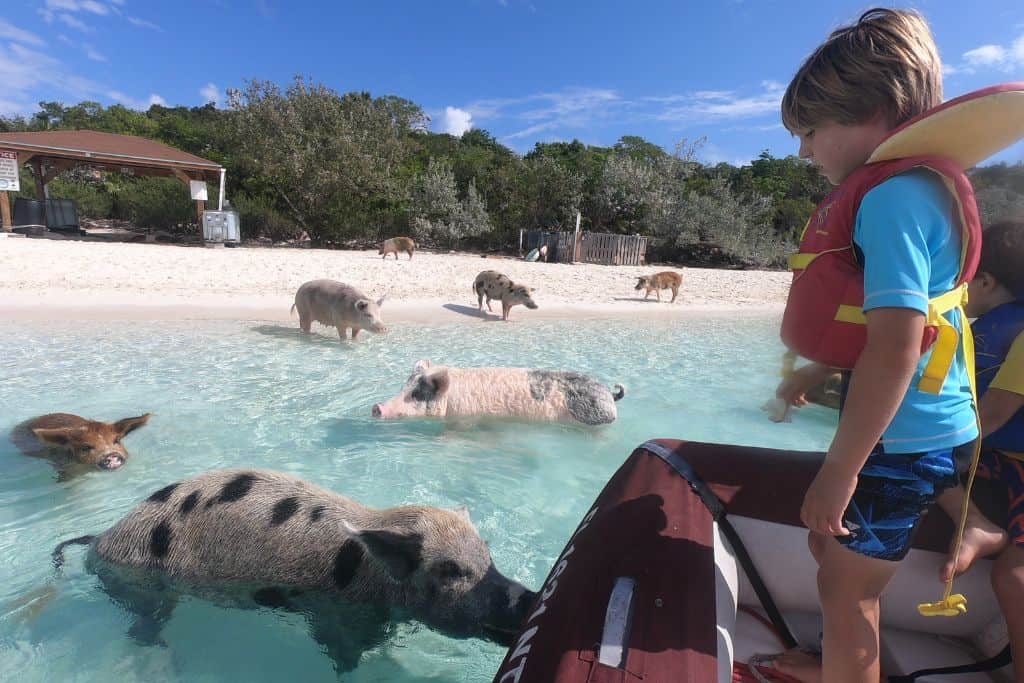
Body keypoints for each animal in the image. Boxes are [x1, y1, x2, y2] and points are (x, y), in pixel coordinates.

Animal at [54, 466, 536, 671]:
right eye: (451, 570)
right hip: (145, 586)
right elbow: (341, 653)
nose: (527, 598)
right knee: (144, 629)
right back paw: (170, 659)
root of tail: (99, 539)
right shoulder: (335, 614)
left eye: (488, 555)